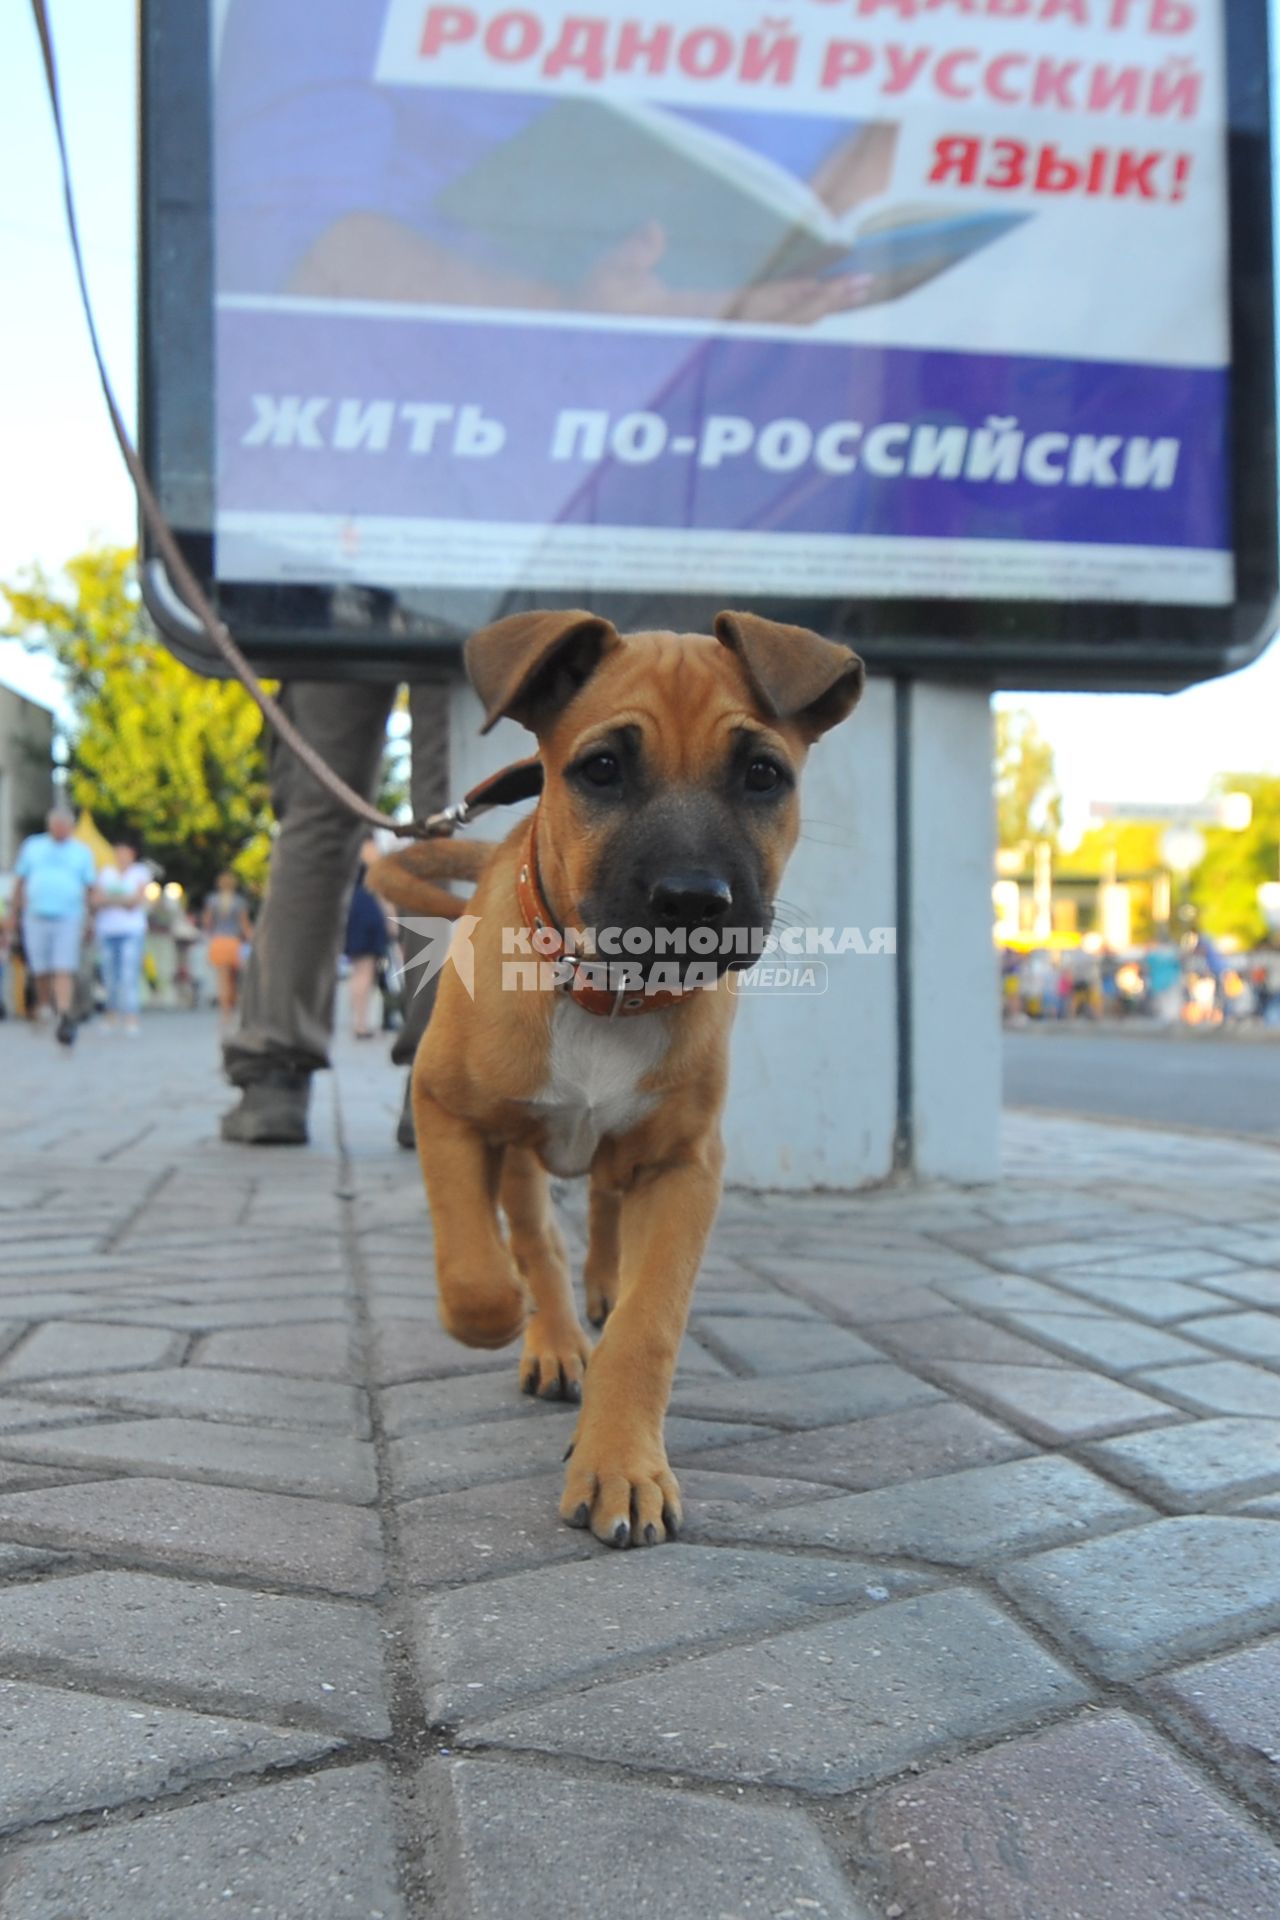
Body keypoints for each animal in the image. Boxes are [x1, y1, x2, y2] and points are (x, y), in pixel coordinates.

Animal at [376, 610, 867, 1543]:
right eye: (601, 769)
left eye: (762, 775)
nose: (692, 901)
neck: (610, 997)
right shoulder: (446, 1108)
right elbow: (479, 1271)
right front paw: (513, 1318)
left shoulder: (683, 1166)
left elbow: (649, 1323)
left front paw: (621, 1464)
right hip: (518, 1147)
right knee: (536, 1233)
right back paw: (555, 1337)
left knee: (601, 1211)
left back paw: (597, 1293)